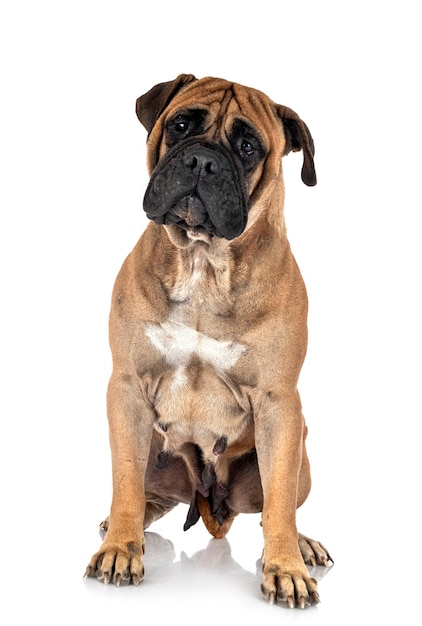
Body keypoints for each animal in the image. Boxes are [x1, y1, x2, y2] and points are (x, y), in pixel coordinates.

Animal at [85, 75, 332, 608]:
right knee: (144, 494)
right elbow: (124, 481)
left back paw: (301, 543)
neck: (202, 263)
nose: (202, 160)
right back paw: (120, 527)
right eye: (181, 125)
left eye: (248, 147)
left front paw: (287, 567)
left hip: (298, 448)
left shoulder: (279, 403)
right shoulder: (127, 389)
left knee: (278, 504)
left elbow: (279, 501)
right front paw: (120, 548)